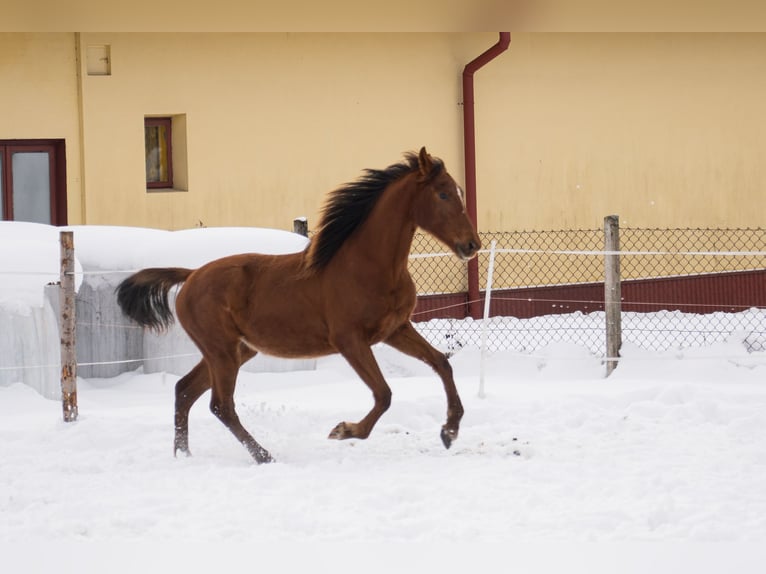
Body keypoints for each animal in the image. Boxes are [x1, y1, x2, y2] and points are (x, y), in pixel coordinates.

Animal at [116, 147, 481, 463]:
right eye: (443, 194)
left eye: (460, 191)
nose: (472, 245)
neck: (370, 266)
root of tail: (191, 275)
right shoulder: (349, 340)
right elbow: (384, 393)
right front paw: (343, 430)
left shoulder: (396, 330)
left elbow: (441, 364)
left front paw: (449, 431)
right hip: (221, 351)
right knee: (220, 405)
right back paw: (263, 456)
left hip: (235, 350)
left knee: (185, 391)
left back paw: (185, 456)